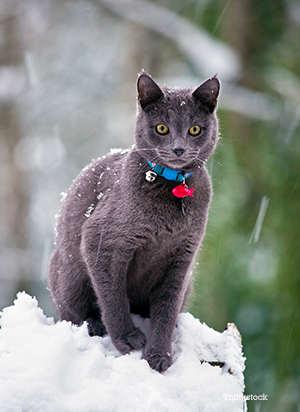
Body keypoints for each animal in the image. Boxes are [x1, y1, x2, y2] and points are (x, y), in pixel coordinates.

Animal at [48, 71, 219, 374]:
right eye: (161, 128)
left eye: (194, 130)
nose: (178, 148)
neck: (172, 187)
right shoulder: (102, 241)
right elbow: (113, 295)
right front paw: (127, 339)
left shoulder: (181, 258)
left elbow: (166, 308)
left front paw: (159, 354)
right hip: (70, 273)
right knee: (71, 313)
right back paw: (94, 324)